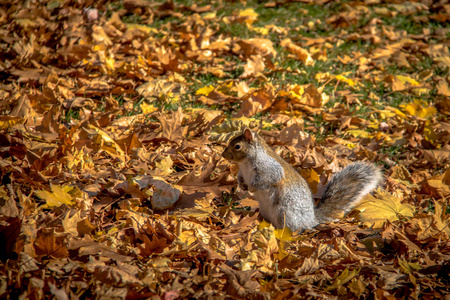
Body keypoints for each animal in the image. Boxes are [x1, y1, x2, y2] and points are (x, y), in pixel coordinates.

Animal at [220, 127, 382, 231]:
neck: (245, 163)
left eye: (237, 146)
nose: (223, 155)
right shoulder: (242, 171)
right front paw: (242, 184)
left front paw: (252, 187)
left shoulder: (270, 169)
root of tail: (311, 220)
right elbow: (240, 177)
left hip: (285, 213)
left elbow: (266, 180)